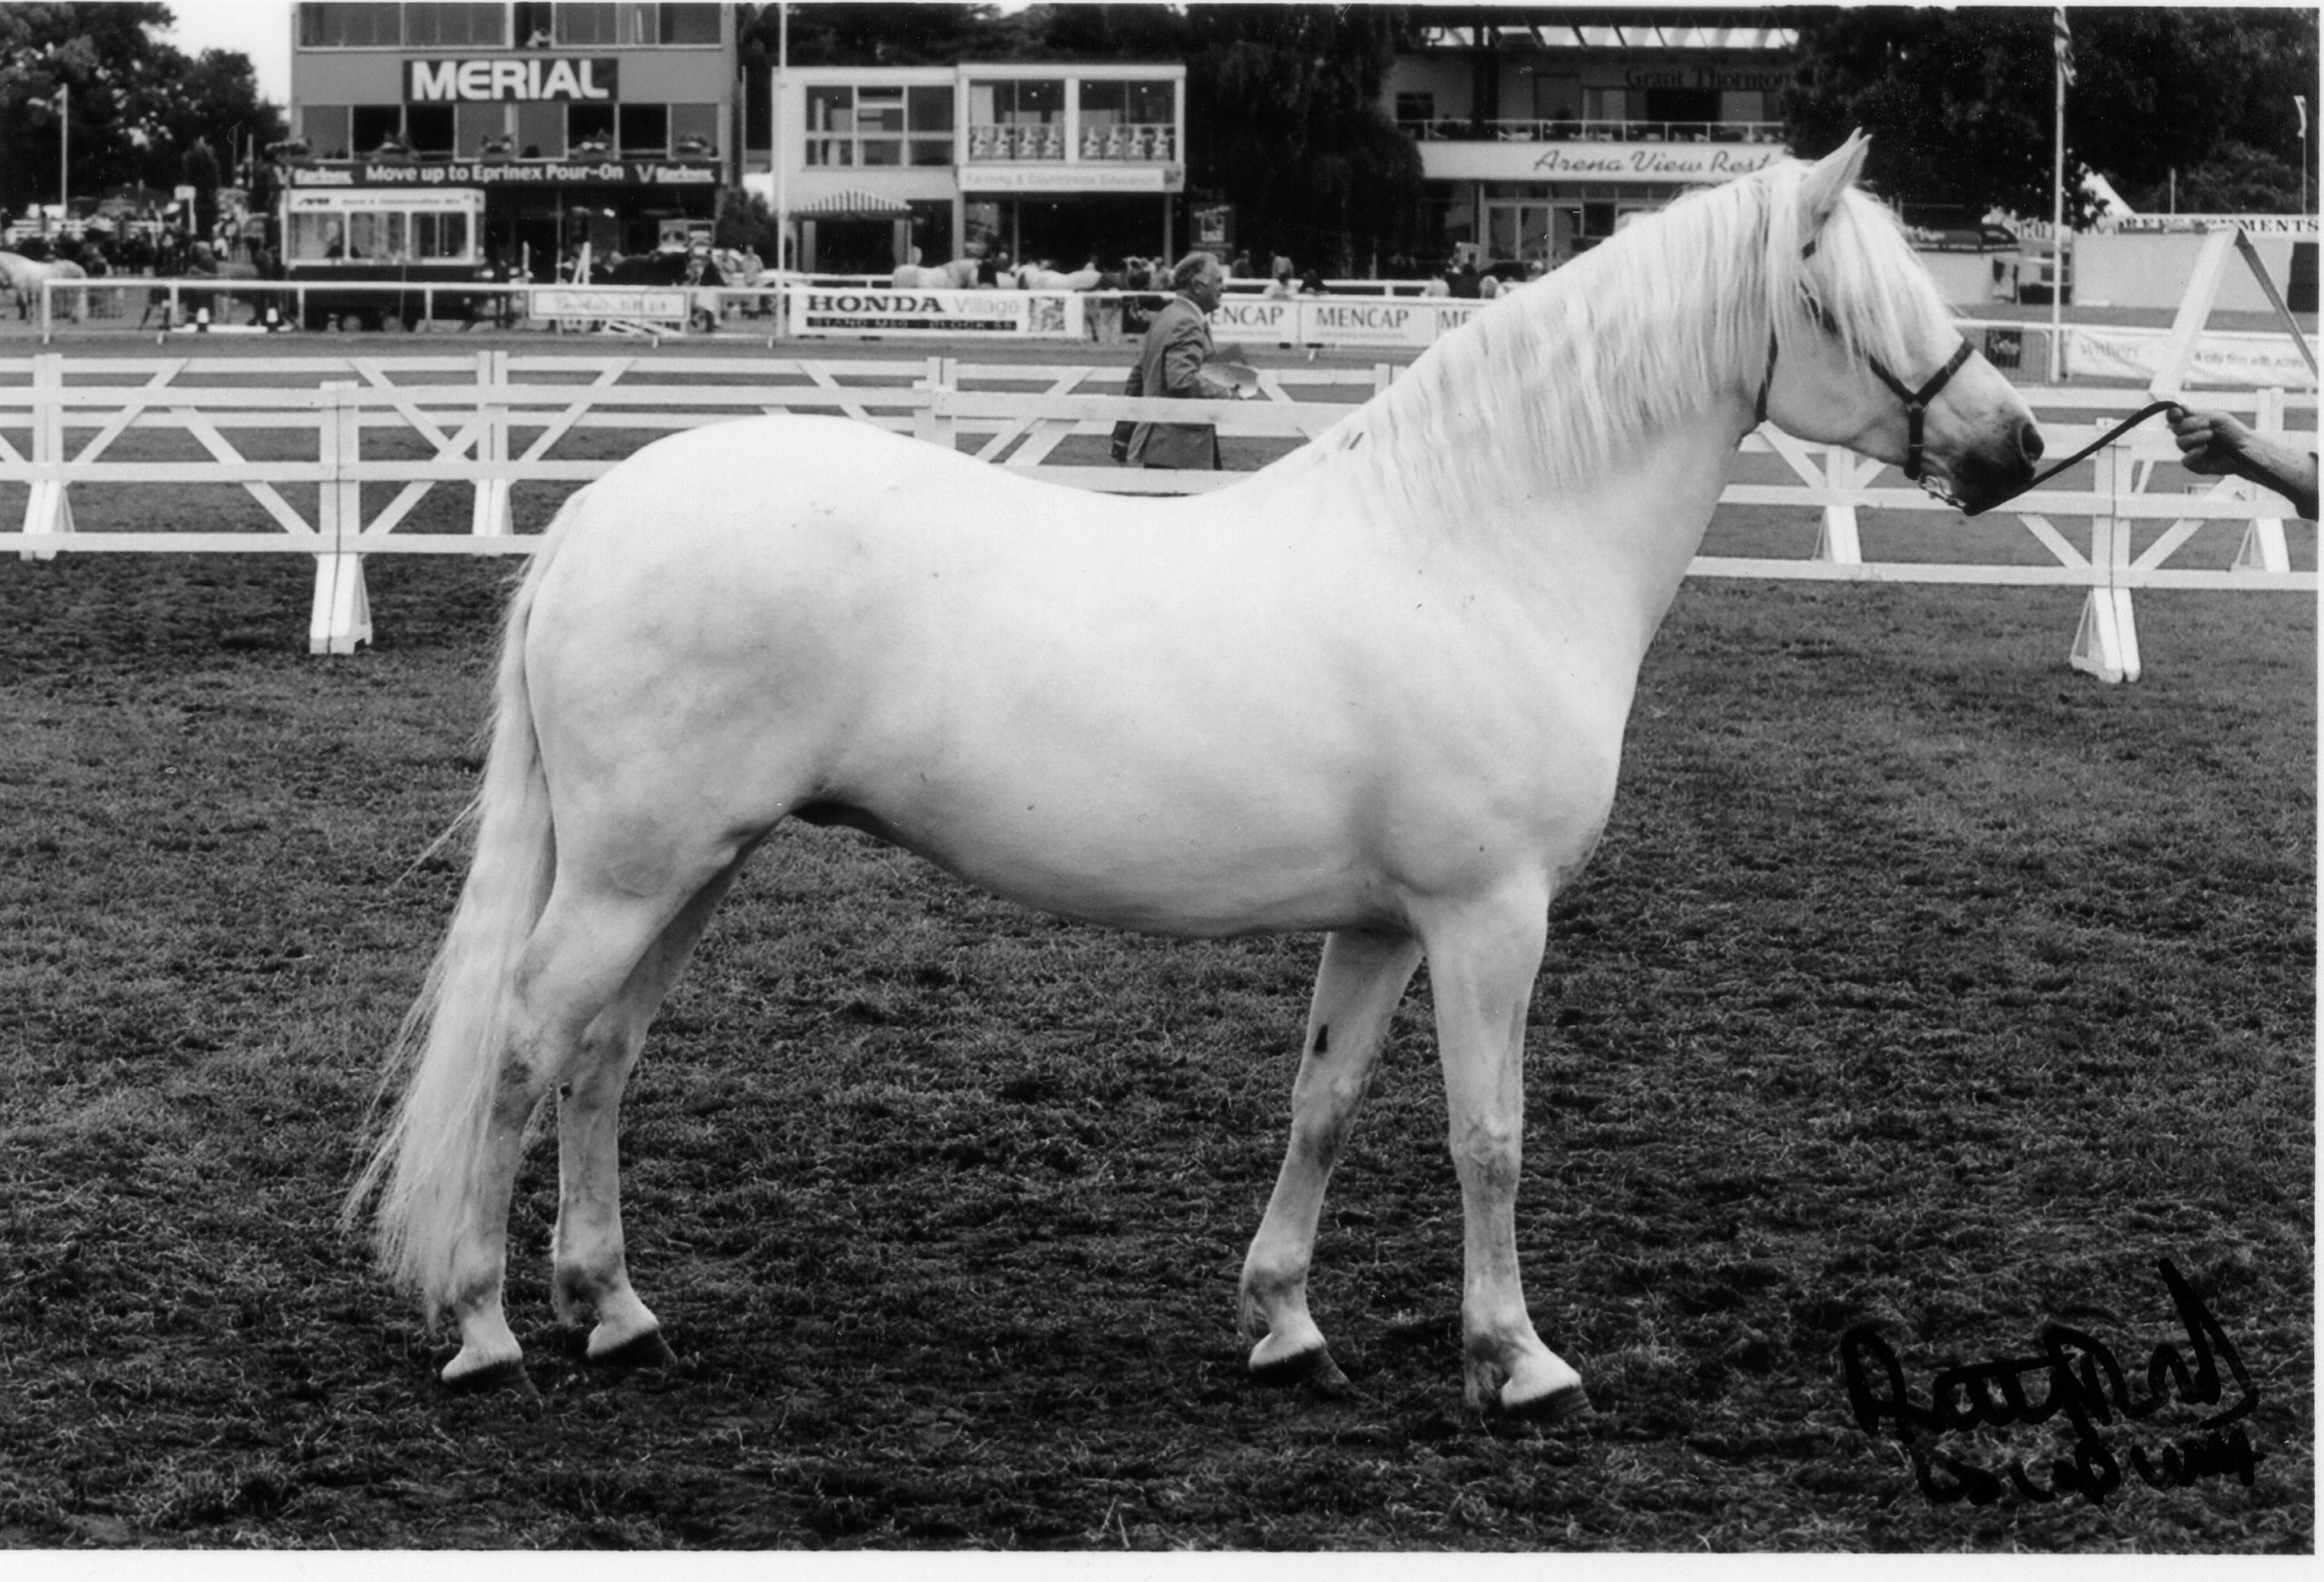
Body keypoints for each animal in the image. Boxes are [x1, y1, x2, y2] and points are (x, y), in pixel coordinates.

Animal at [343, 135, 2035, 1412]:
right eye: (1848, 297)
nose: (2015, 444)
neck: (1478, 547)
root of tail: (601, 511)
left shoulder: (1386, 921)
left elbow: (1325, 1105)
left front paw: (1283, 1320)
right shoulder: (1491, 917)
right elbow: (1488, 1134)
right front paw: (1518, 1356)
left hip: (696, 863)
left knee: (602, 1055)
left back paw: (616, 1307)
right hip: (637, 868)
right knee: (523, 1046)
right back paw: (487, 1325)